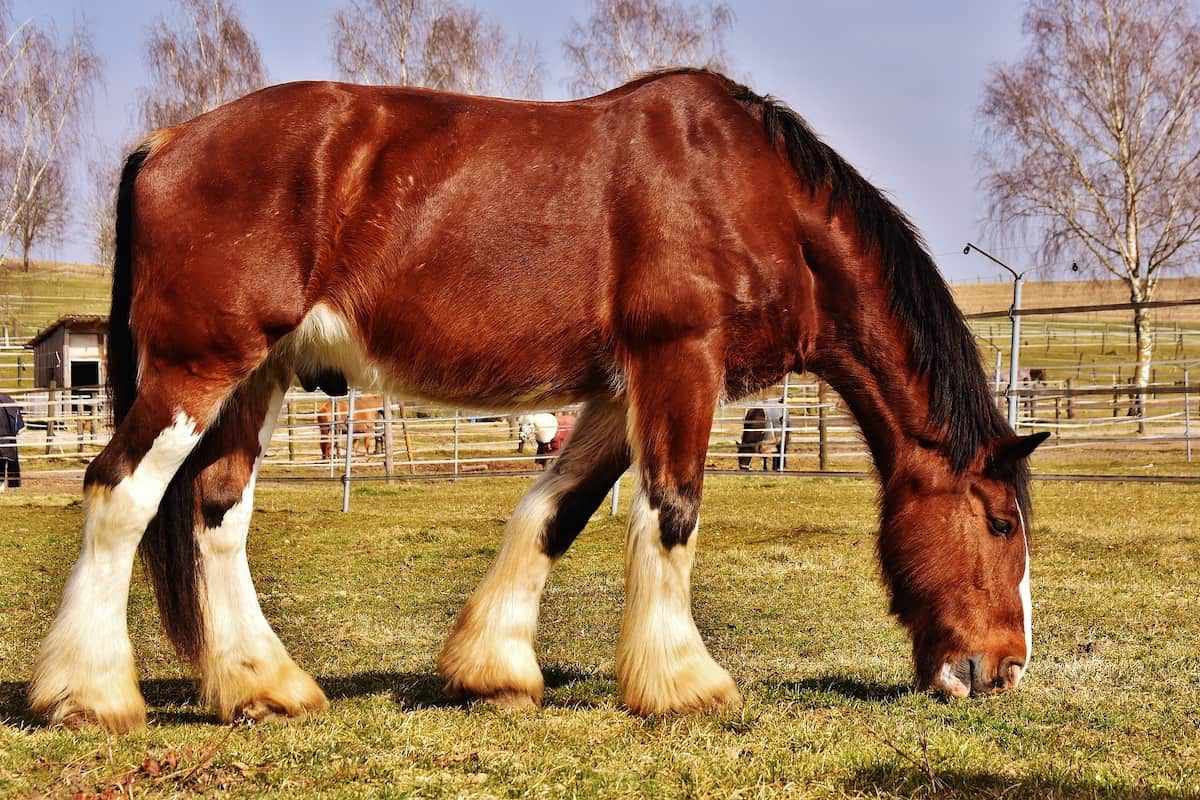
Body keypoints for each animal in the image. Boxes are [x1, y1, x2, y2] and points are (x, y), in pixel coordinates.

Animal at [30, 69, 1047, 732]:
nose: (1001, 670)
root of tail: (169, 142)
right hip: (198, 369)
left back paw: (262, 687)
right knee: (120, 493)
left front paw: (494, 669)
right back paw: (90, 695)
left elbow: (554, 512)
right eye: (1000, 523)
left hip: (259, 376)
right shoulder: (680, 362)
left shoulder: (614, 391)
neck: (753, 196)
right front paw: (684, 683)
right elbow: (671, 513)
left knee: (215, 510)